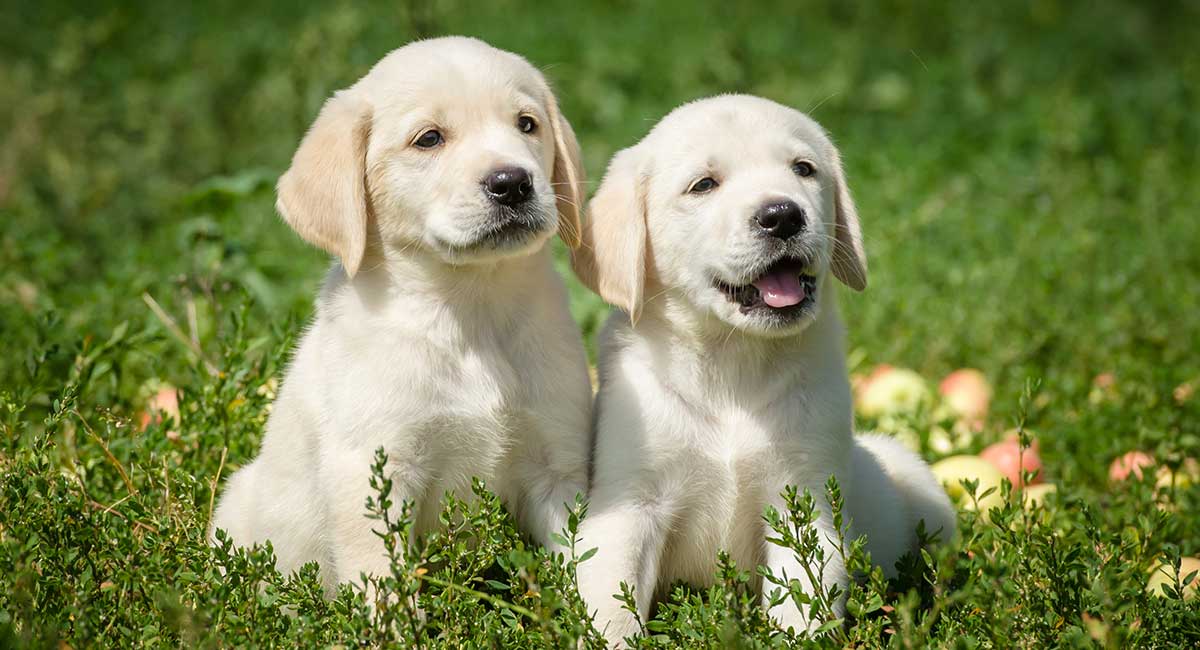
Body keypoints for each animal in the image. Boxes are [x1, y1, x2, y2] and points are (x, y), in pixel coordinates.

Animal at [214, 35, 595, 597]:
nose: (512, 182)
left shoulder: (557, 464)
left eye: (527, 124)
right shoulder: (375, 473)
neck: (469, 309)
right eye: (429, 139)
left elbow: (584, 557)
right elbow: (382, 582)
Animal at [571, 94, 955, 642]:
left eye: (804, 170)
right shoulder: (628, 504)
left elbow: (803, 603)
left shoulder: (805, 506)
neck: (733, 362)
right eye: (704, 184)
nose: (783, 215)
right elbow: (612, 607)